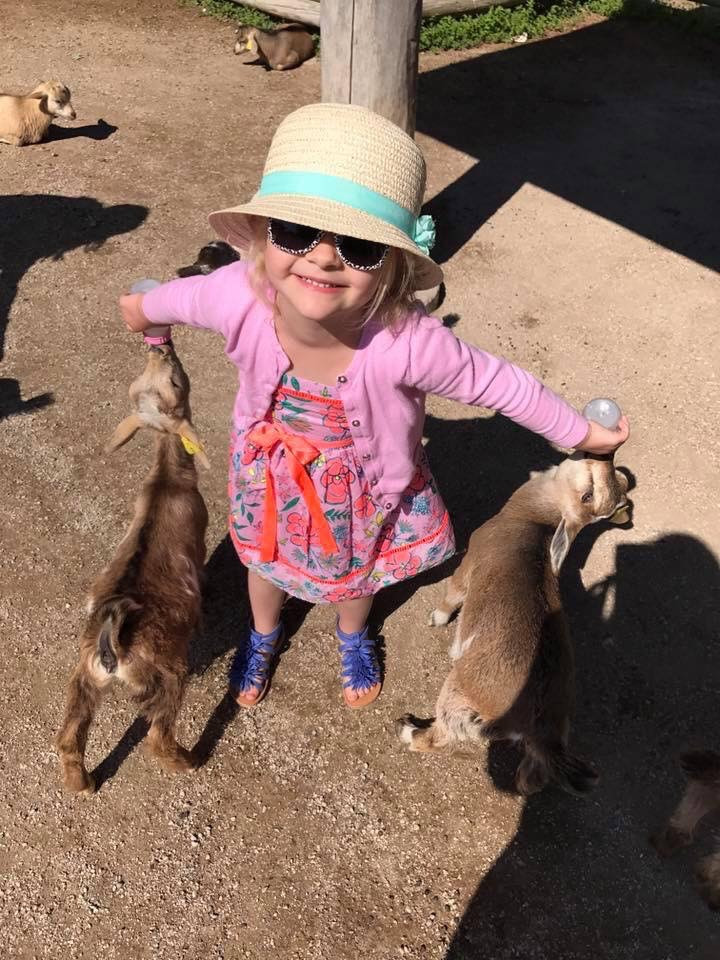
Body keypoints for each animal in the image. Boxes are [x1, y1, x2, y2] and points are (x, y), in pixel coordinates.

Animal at [56, 344, 208, 796]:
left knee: (68, 734)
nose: (163, 348)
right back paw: (188, 760)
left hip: (84, 674)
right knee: (157, 735)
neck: (167, 480)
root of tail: (112, 641)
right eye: (176, 381)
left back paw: (83, 783)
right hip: (169, 671)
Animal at [396, 456, 628, 796]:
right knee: (535, 774)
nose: (605, 458)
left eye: (587, 496)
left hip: (460, 692)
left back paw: (408, 730)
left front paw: (437, 618)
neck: (530, 519)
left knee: (441, 735)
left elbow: (453, 594)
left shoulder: (470, 560)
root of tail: (535, 723)